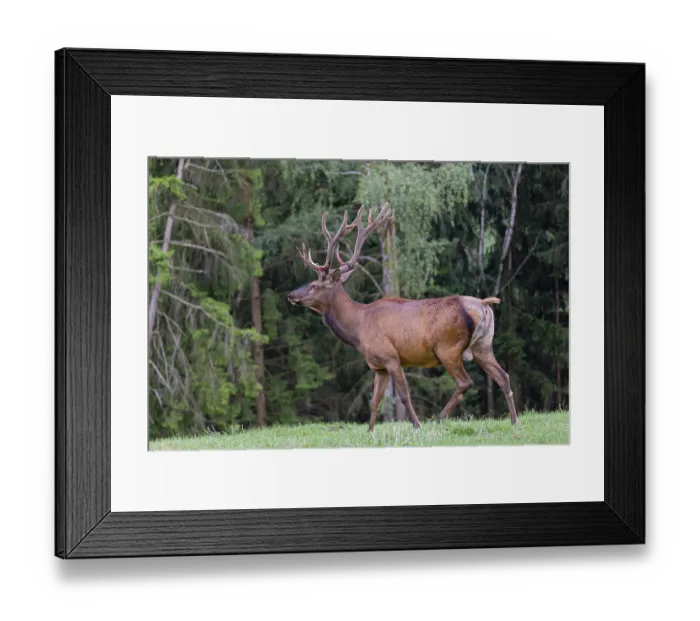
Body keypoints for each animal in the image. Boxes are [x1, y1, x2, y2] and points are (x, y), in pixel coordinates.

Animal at [287, 202, 519, 432]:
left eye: (314, 285)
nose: (290, 294)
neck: (358, 328)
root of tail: (483, 305)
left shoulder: (391, 356)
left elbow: (404, 395)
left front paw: (416, 424)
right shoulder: (378, 366)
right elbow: (375, 401)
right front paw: (370, 432)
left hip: (448, 347)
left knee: (465, 382)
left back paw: (439, 417)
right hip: (483, 346)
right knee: (503, 376)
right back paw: (514, 421)